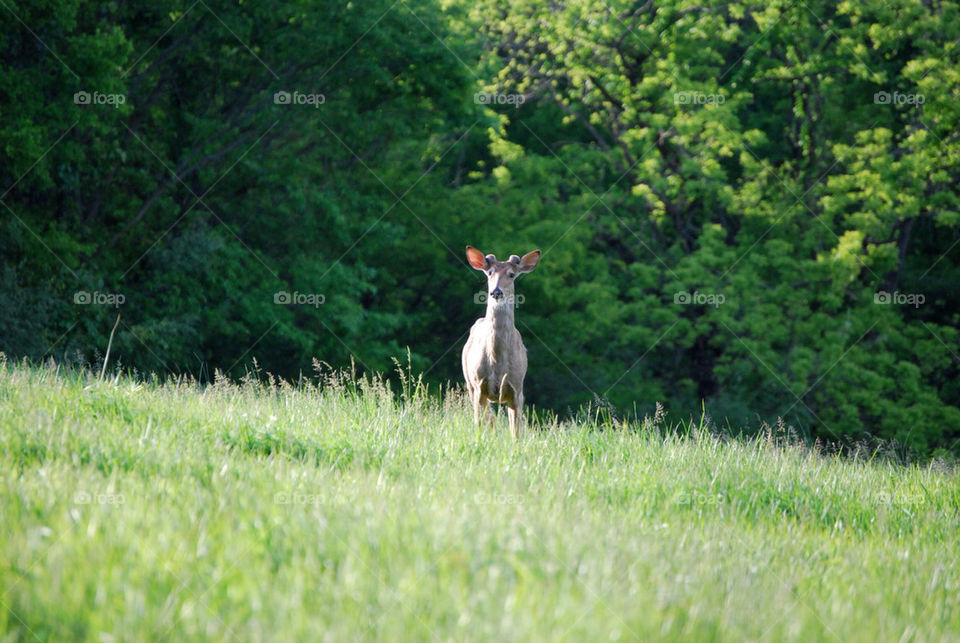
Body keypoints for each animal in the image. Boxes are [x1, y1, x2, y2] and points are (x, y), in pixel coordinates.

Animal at [460, 244, 536, 440]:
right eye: (489, 272)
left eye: (511, 274)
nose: (496, 291)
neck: (498, 362)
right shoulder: (479, 384)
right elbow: (480, 425)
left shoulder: (517, 389)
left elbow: (516, 433)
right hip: (469, 383)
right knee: (489, 420)